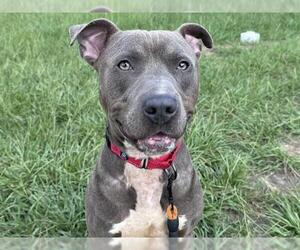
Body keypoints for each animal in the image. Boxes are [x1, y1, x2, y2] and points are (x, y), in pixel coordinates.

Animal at [69, 18, 212, 236]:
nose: (161, 106)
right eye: (124, 64)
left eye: (182, 64)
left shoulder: (183, 232)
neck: (146, 166)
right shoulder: (102, 234)